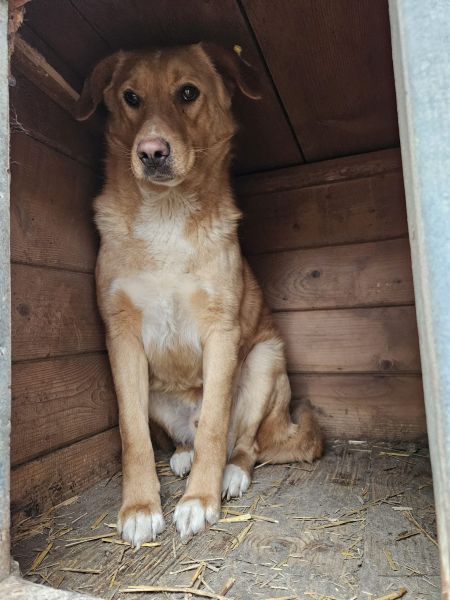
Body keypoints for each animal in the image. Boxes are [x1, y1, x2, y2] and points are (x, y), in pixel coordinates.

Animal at [75, 43, 323, 547]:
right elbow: (132, 434)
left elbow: (213, 425)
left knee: (243, 443)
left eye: (187, 92)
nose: (151, 152)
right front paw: (140, 507)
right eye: (131, 97)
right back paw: (182, 455)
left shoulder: (222, 333)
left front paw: (199, 500)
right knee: (183, 438)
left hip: (265, 361)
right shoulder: (122, 339)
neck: (166, 215)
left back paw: (231, 473)